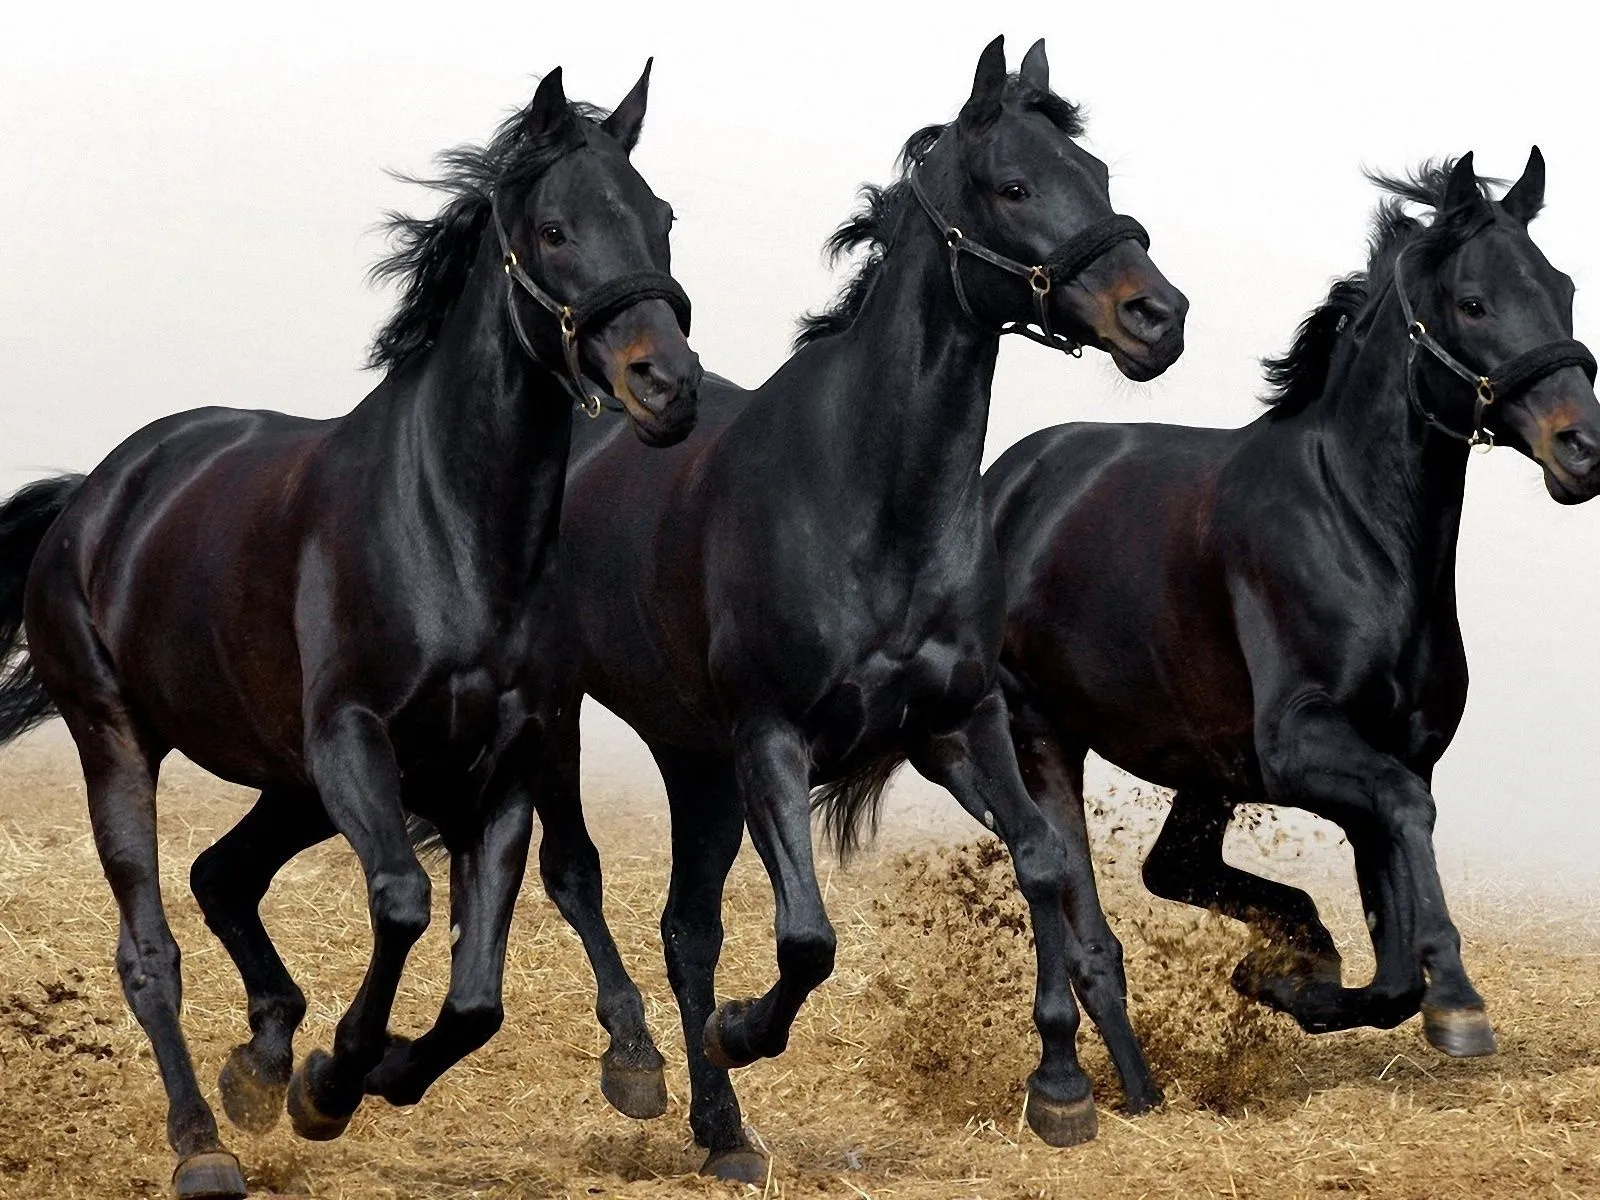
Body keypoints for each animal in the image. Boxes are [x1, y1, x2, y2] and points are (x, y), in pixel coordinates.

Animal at [0, 68, 700, 1200]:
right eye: (553, 229)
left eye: (662, 218)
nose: (668, 387)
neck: (450, 529)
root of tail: (94, 498)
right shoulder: (352, 741)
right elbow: (406, 901)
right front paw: (332, 1081)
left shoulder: (502, 763)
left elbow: (478, 993)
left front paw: (364, 1073)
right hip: (120, 741)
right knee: (151, 952)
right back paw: (204, 1142)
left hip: (287, 780)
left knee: (222, 875)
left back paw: (260, 1060)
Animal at [540, 40, 1190, 1184]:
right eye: (1013, 186)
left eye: (1098, 172)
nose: (1158, 317)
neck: (870, 499)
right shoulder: (771, 740)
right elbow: (807, 938)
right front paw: (744, 1031)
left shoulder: (961, 722)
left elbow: (1044, 863)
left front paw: (1061, 1088)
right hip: (564, 713)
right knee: (576, 875)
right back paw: (641, 1065)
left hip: (693, 757)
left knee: (686, 929)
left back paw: (723, 1136)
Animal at [979, 150, 1600, 1107]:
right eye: (1473, 302)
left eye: (1563, 288)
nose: (1584, 449)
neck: (1357, 530)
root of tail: (1004, 483)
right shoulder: (1303, 746)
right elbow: (1407, 824)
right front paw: (1458, 1002)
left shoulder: (1385, 754)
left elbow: (1392, 964)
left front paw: (1288, 983)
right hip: (1041, 735)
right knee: (1076, 913)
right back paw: (1118, 1089)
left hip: (1200, 763)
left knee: (1172, 869)